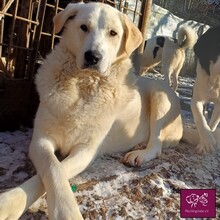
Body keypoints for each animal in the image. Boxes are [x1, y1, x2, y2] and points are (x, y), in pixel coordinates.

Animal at [0, 2, 213, 220]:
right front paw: (10, 203)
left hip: (160, 93)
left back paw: (140, 152)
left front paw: (64, 211)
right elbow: (53, 166)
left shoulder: (87, 150)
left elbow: (58, 169)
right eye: (84, 27)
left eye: (113, 33)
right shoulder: (40, 140)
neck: (83, 85)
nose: (93, 57)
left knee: (157, 144)